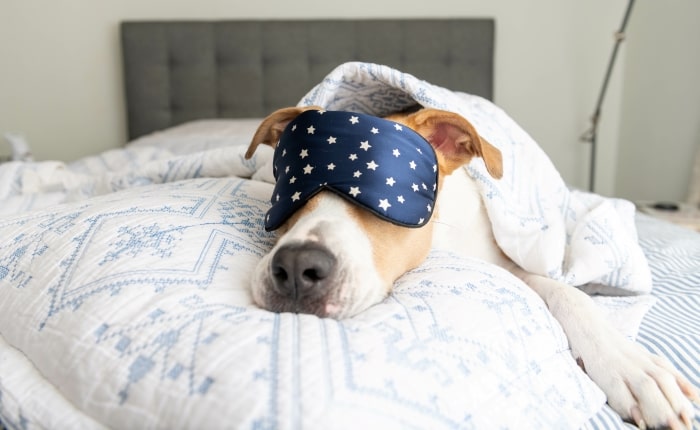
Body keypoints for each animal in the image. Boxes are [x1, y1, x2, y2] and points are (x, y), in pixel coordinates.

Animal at [245, 106, 696, 428]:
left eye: (379, 197)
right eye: (288, 192)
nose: (297, 267)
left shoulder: (511, 260)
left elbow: (568, 294)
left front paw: (630, 366)